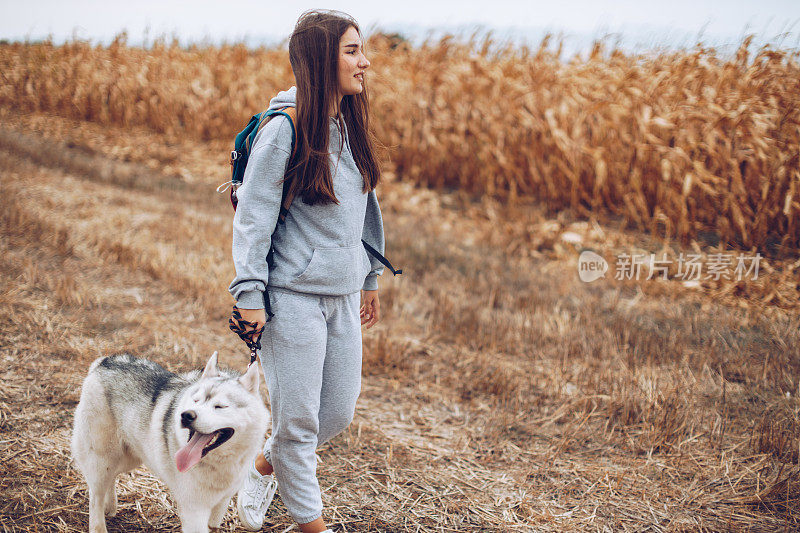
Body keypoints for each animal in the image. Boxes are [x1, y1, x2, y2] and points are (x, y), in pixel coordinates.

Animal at [70, 352, 268, 528]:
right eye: (196, 401)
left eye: (220, 406)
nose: (187, 415)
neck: (219, 464)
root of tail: (104, 361)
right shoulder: (194, 511)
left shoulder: (221, 504)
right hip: (102, 459)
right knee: (95, 495)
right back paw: (99, 524)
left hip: (129, 458)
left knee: (111, 478)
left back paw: (110, 506)